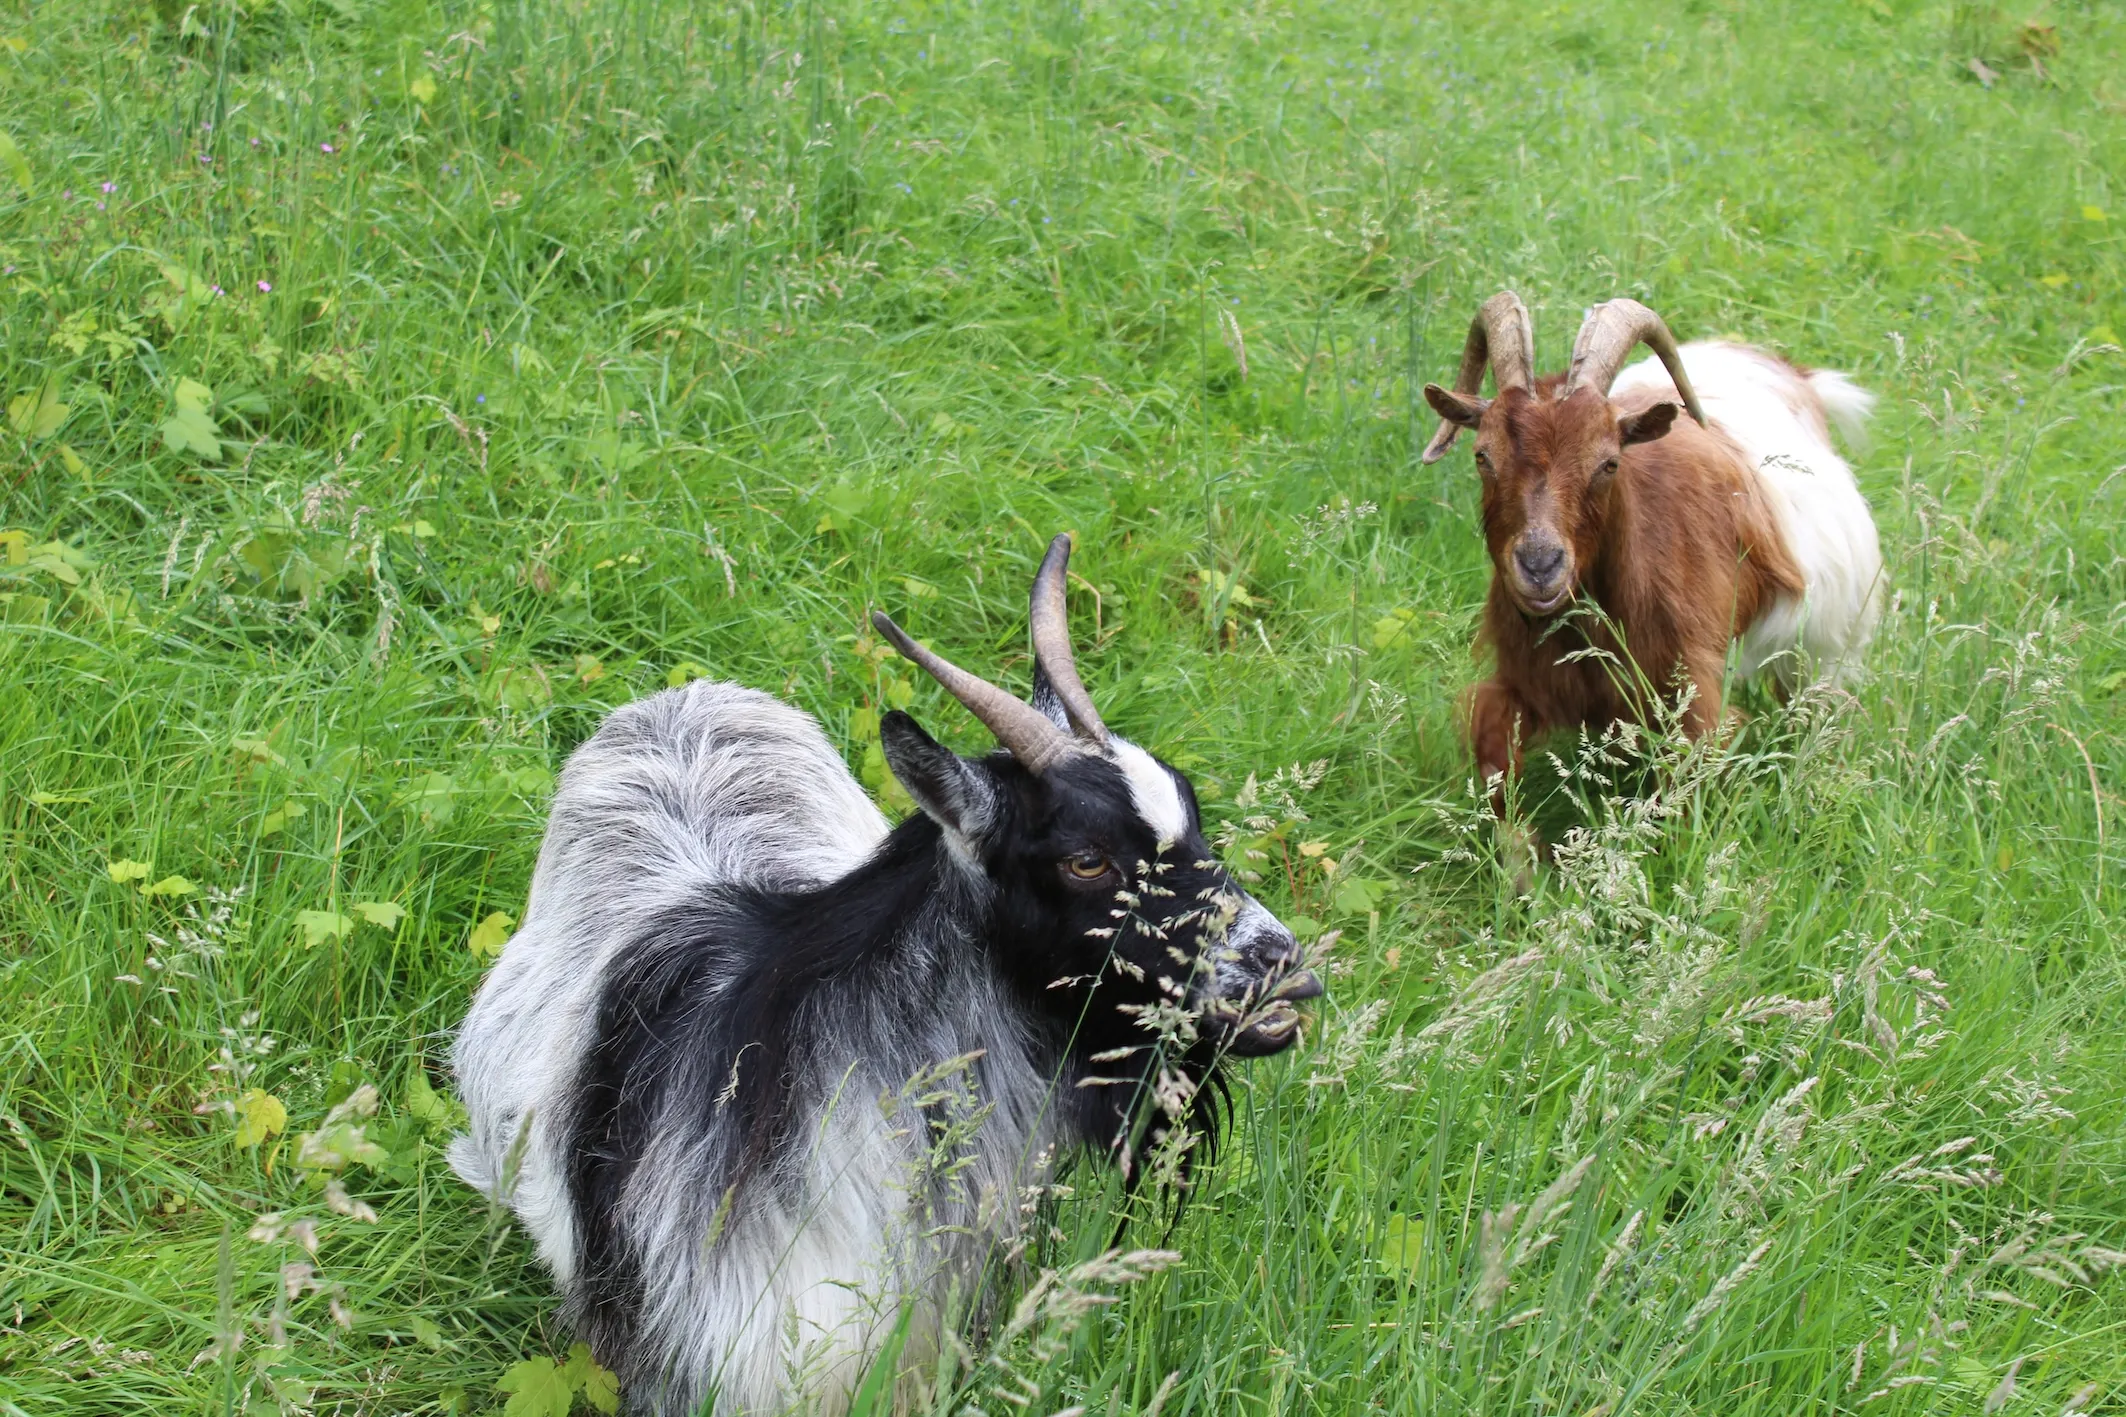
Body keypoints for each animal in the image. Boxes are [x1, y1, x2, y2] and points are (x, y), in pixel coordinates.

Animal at [1421, 292, 1883, 819]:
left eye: (1609, 463)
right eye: (1483, 456)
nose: (1540, 567)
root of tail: (1793, 374)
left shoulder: (1691, 687)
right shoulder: (1525, 675)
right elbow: (1492, 740)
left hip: (1825, 648)